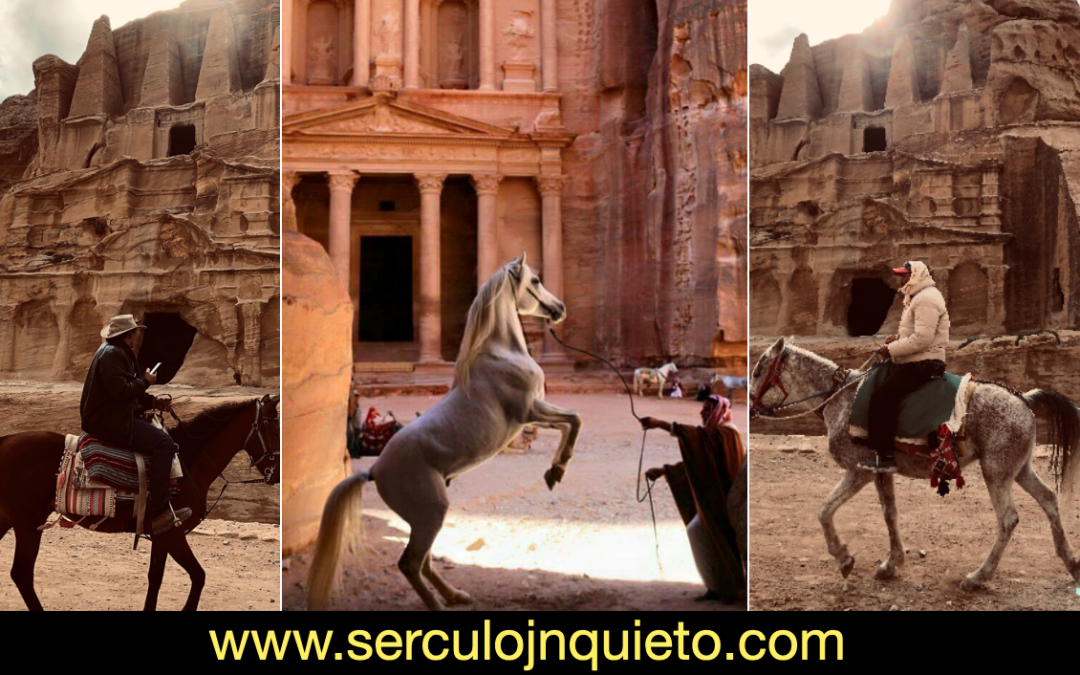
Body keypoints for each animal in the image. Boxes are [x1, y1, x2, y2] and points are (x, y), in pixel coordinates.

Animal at [0, 395, 280, 611]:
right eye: (274, 428)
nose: (276, 474)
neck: (187, 466)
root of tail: (6, 440)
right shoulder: (173, 534)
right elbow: (198, 576)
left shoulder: (162, 535)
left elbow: (155, 578)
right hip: (28, 524)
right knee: (22, 573)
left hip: (9, 520)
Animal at [308, 254, 581, 611]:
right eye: (535, 281)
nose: (560, 308)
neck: (500, 354)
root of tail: (375, 469)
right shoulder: (528, 411)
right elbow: (574, 420)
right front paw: (557, 471)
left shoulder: (529, 418)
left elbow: (566, 424)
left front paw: (554, 472)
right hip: (431, 514)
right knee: (410, 564)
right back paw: (441, 603)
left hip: (424, 519)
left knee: (423, 562)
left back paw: (455, 595)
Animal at [749, 337, 1080, 590]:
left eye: (757, 371)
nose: (750, 407)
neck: (840, 399)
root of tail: (1024, 398)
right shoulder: (881, 471)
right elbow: (889, 514)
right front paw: (891, 563)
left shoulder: (858, 471)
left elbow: (824, 511)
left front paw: (844, 558)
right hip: (1019, 469)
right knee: (1049, 500)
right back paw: (1071, 562)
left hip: (996, 472)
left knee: (1008, 519)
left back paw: (978, 577)